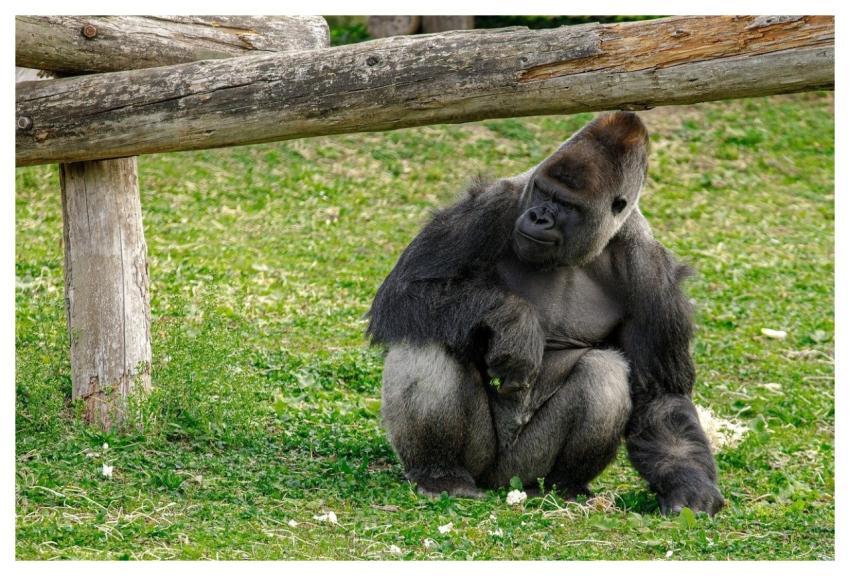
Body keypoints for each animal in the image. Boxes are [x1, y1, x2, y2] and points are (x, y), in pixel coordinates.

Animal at [366, 112, 724, 516]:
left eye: (566, 204)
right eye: (543, 193)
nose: (538, 217)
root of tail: (500, 482)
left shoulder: (652, 275)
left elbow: (661, 396)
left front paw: (689, 484)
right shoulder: (492, 205)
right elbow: (407, 290)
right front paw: (514, 320)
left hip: (526, 465)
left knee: (604, 371)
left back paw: (563, 487)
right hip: (481, 461)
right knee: (428, 334)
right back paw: (440, 473)